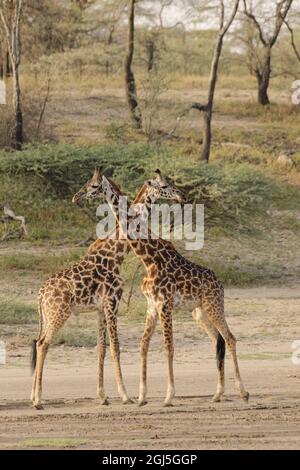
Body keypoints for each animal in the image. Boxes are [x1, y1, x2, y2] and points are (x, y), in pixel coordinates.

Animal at [29, 168, 183, 408]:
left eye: (92, 185)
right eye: (165, 185)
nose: (180, 195)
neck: (115, 254)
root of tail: (40, 294)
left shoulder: (101, 308)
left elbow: (101, 348)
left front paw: (103, 396)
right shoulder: (112, 302)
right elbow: (116, 347)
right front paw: (126, 395)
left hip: (48, 315)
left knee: (38, 341)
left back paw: (33, 396)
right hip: (59, 313)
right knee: (43, 344)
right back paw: (37, 400)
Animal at [74, 170, 250, 408]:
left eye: (93, 185)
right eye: (165, 184)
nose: (76, 196)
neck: (148, 258)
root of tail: (220, 284)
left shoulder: (165, 304)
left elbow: (168, 347)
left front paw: (168, 396)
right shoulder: (152, 305)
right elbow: (143, 345)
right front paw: (141, 397)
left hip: (214, 306)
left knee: (230, 338)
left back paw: (243, 392)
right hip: (199, 312)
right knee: (218, 340)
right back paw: (217, 394)